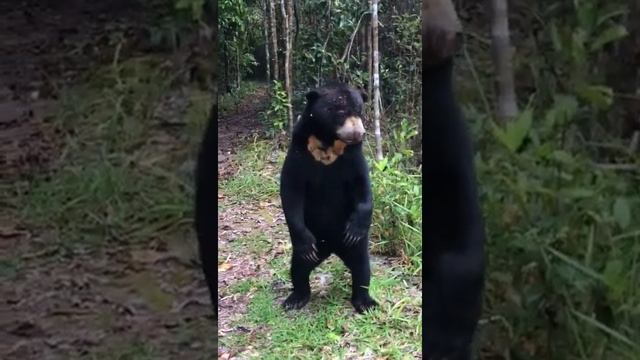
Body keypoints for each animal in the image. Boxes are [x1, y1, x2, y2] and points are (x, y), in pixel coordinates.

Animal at [278, 83, 378, 314]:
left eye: (359, 111)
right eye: (340, 111)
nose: (359, 133)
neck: (328, 142)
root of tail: (332, 248)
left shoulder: (352, 156)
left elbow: (363, 186)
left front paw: (355, 228)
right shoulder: (300, 150)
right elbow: (291, 191)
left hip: (355, 248)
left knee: (362, 268)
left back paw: (365, 302)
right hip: (312, 244)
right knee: (299, 267)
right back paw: (296, 298)